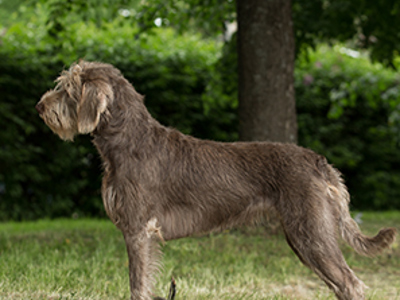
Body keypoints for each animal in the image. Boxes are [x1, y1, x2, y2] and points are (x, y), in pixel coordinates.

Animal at [36, 61, 396, 300]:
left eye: (67, 89)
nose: (39, 106)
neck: (128, 140)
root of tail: (319, 162)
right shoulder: (144, 234)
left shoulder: (138, 230)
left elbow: (137, 284)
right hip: (305, 238)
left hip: (312, 234)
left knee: (350, 283)